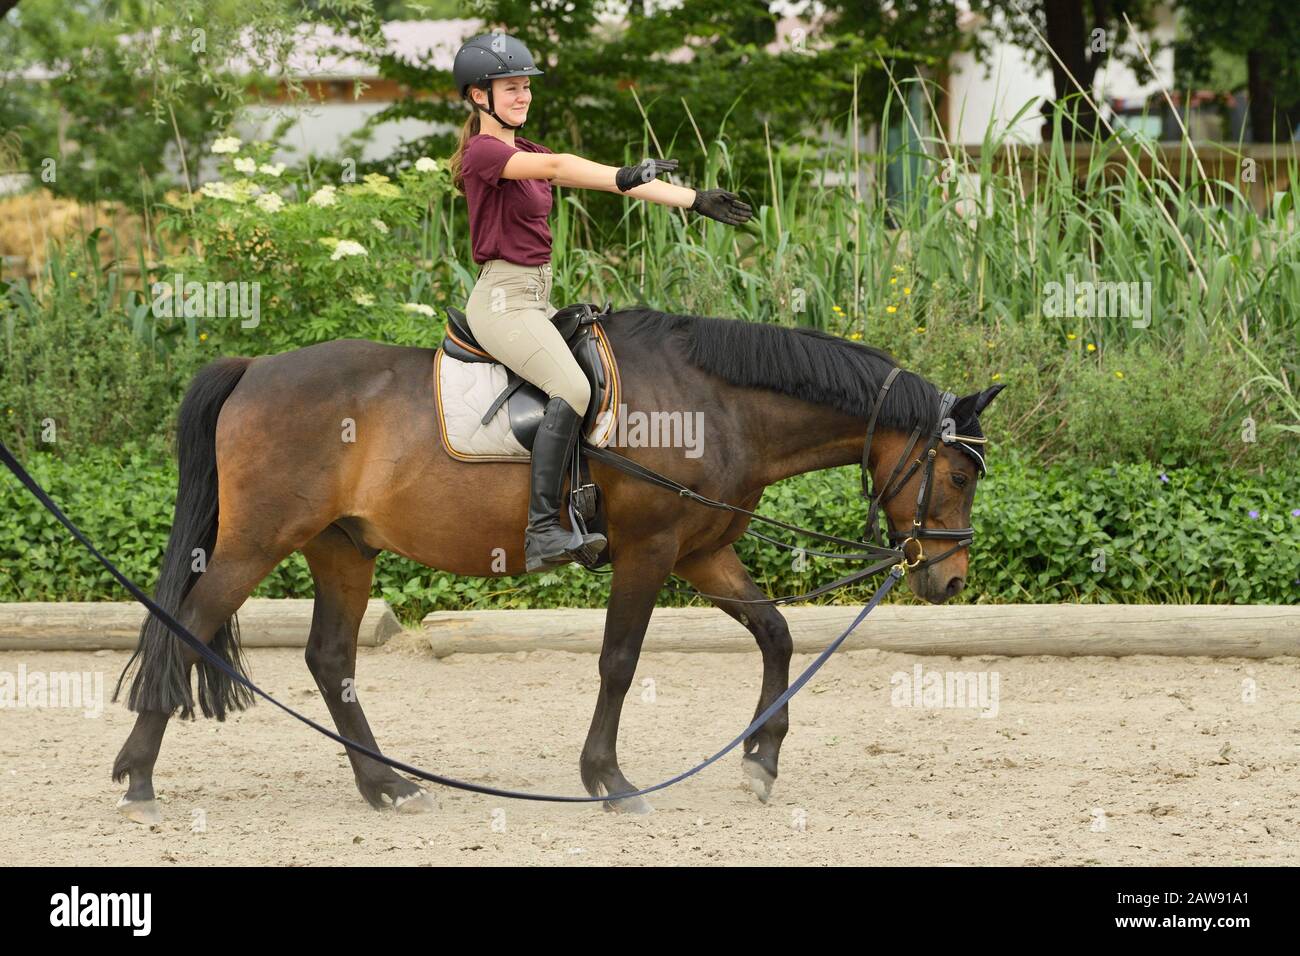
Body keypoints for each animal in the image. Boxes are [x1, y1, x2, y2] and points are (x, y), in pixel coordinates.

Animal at [110, 307, 1005, 822]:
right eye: (960, 476)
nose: (950, 579)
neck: (716, 402)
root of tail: (255, 369)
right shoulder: (649, 552)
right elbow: (618, 661)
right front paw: (608, 780)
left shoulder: (703, 554)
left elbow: (777, 634)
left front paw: (761, 761)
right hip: (257, 541)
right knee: (188, 623)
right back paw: (139, 777)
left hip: (343, 548)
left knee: (331, 659)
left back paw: (385, 786)